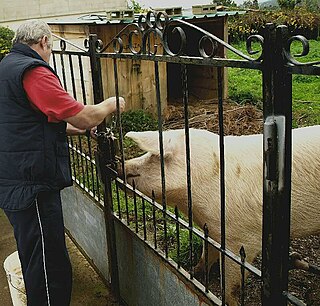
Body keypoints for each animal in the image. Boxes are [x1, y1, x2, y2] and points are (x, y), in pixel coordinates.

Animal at [123, 125, 320, 304]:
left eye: (154, 156)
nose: (121, 165)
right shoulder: (211, 229)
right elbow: (206, 254)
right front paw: (193, 273)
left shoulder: (242, 239)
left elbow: (231, 285)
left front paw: (229, 301)